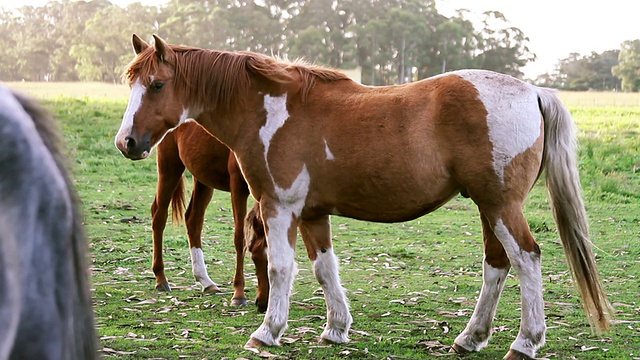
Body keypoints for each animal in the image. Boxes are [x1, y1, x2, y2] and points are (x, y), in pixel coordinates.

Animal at [124, 116, 268, 310]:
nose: (262, 304)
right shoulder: (238, 185)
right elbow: (240, 239)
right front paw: (239, 294)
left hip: (202, 176)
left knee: (193, 219)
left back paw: (206, 281)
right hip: (170, 166)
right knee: (159, 216)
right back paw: (161, 279)